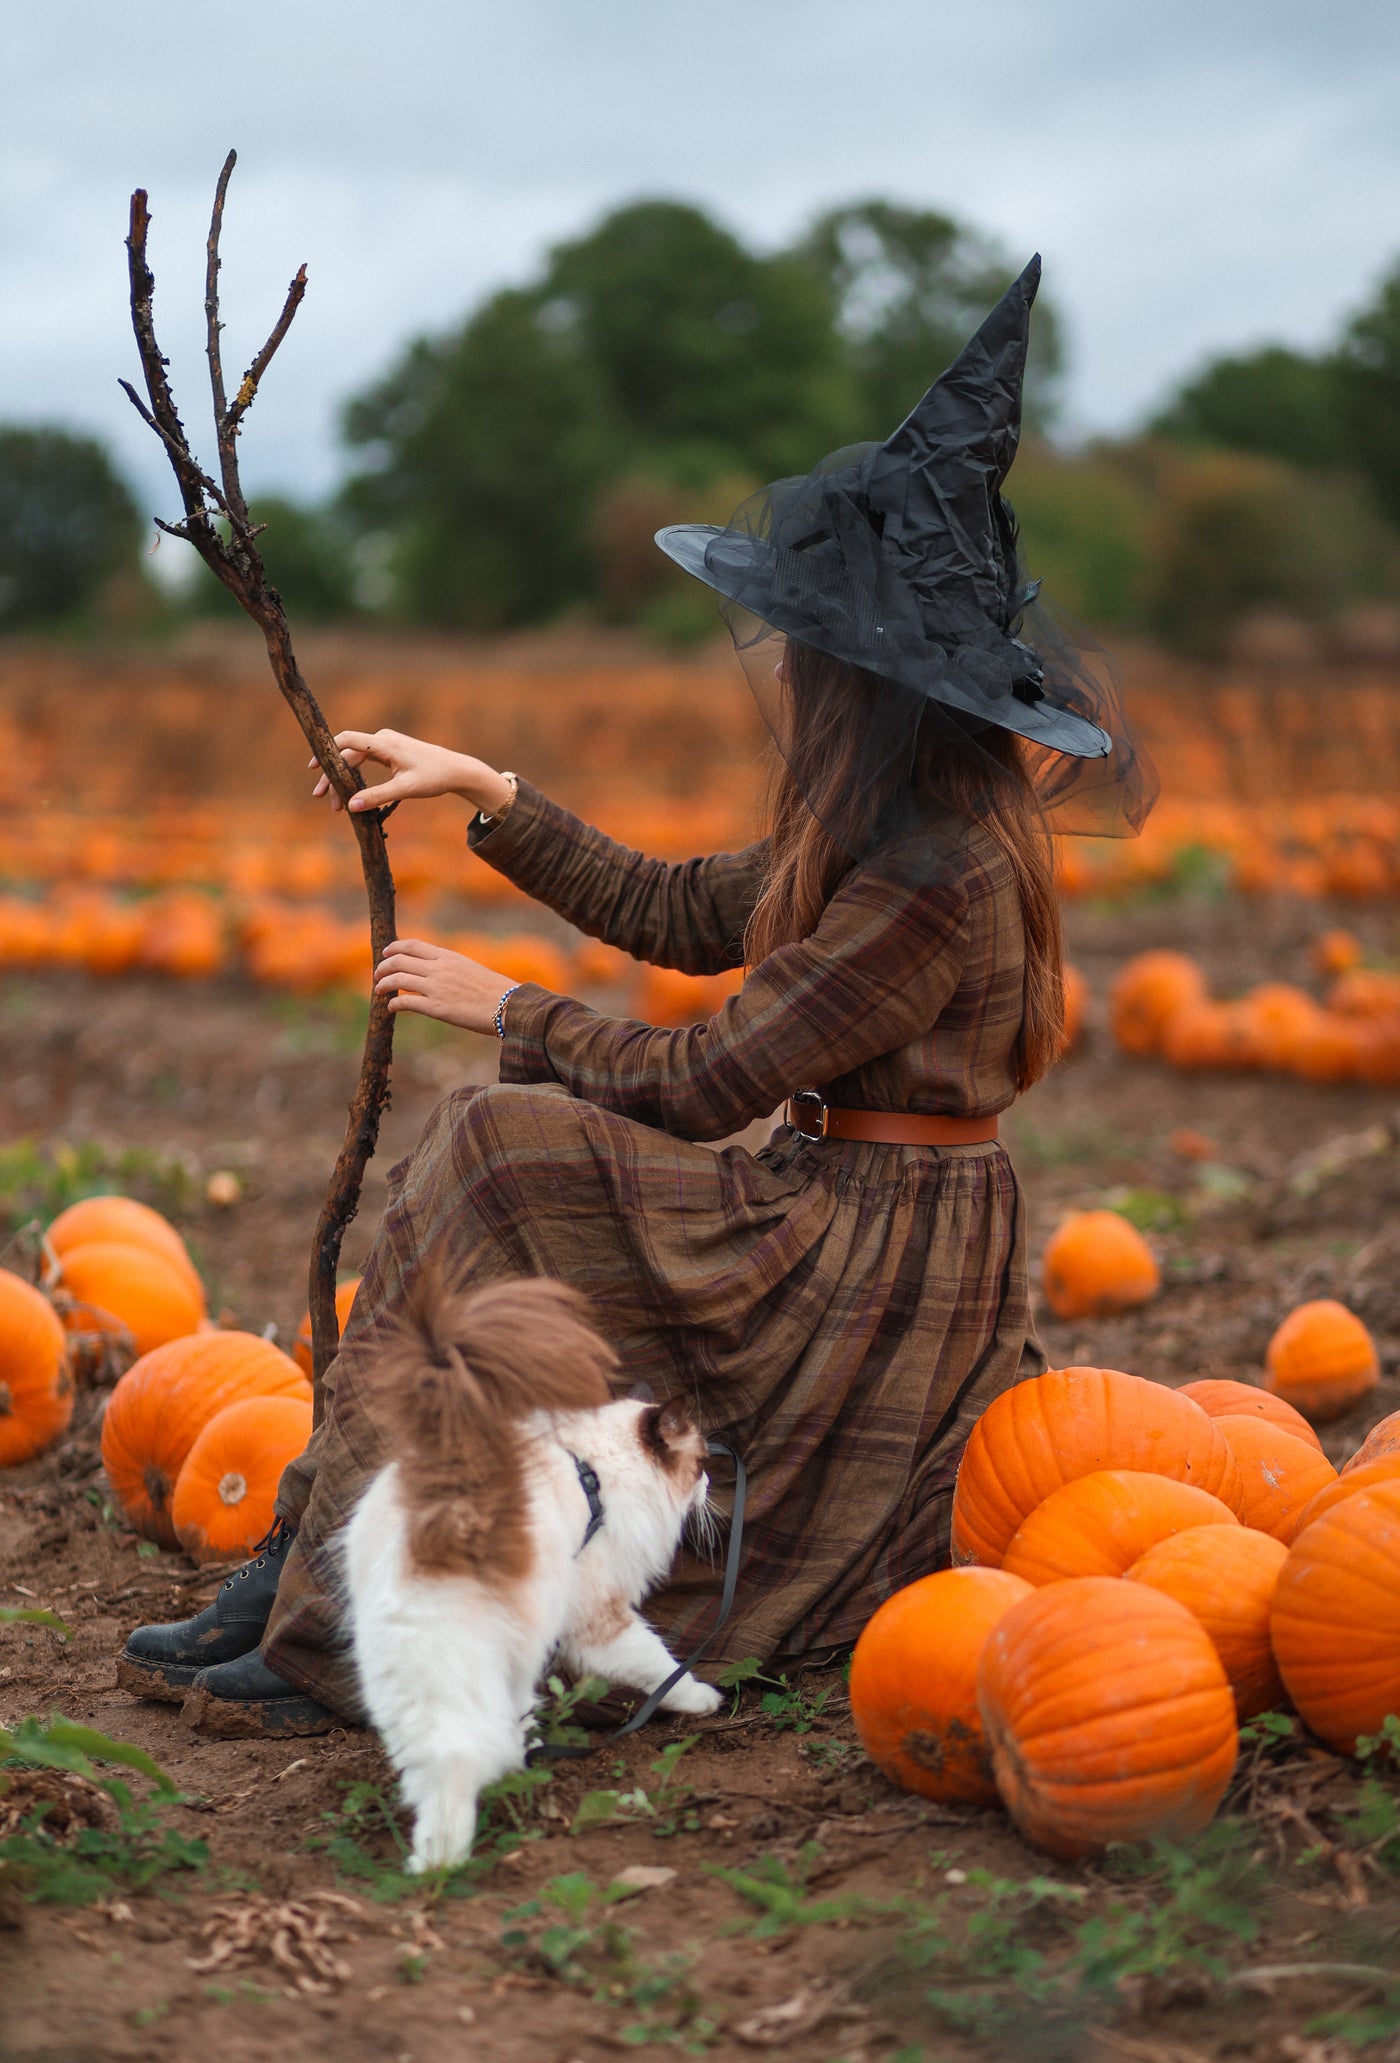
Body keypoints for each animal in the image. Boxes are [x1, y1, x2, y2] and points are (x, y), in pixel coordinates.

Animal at [340, 1270, 721, 1873]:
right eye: (702, 1463)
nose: (711, 1484)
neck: (597, 1473)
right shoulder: (599, 1618)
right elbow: (660, 1668)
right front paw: (704, 1699)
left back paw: (437, 1853)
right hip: (492, 1653)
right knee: (465, 1752)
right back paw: (462, 1844)